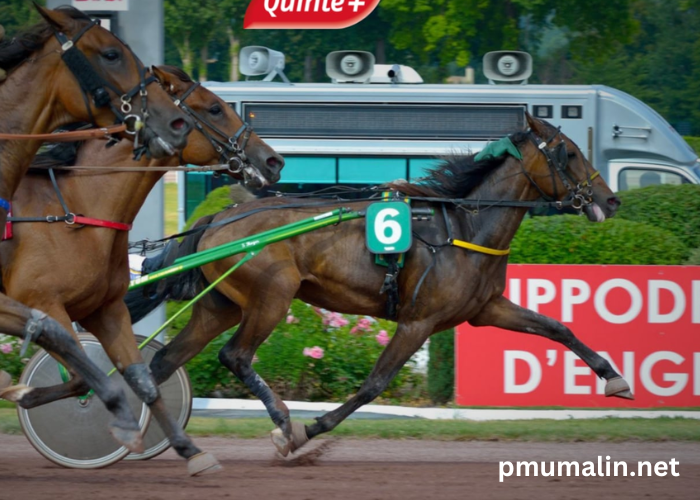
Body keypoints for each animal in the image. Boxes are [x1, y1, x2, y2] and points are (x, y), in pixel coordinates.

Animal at [0, 64, 284, 474]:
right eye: (215, 108)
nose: (273, 160)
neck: (74, 210)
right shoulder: (42, 301)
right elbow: (81, 374)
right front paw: (23, 392)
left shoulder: (105, 308)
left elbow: (137, 378)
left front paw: (191, 451)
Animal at [129, 113, 632, 458]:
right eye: (569, 153)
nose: (610, 199)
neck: (464, 228)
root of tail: (217, 218)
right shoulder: (418, 321)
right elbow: (374, 384)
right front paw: (310, 430)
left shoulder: (485, 309)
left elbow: (556, 327)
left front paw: (616, 379)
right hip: (272, 295)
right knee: (235, 356)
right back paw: (284, 424)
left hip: (221, 305)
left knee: (162, 364)